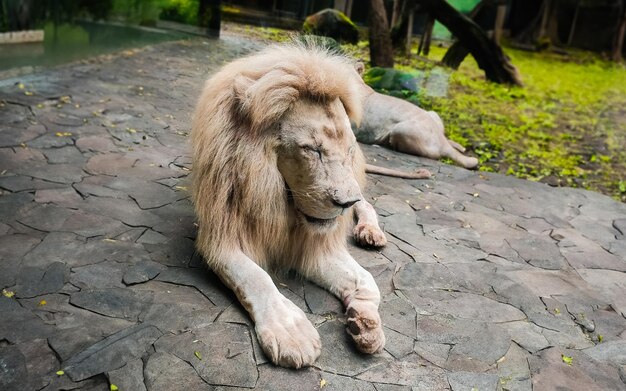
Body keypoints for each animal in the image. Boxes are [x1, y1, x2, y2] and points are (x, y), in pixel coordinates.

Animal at [190, 44, 386, 370]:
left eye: (348, 150)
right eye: (312, 150)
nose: (345, 202)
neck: (284, 207)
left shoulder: (316, 244)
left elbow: (368, 281)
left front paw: (366, 324)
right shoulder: (222, 237)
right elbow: (257, 277)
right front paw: (291, 332)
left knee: (367, 206)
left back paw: (371, 232)